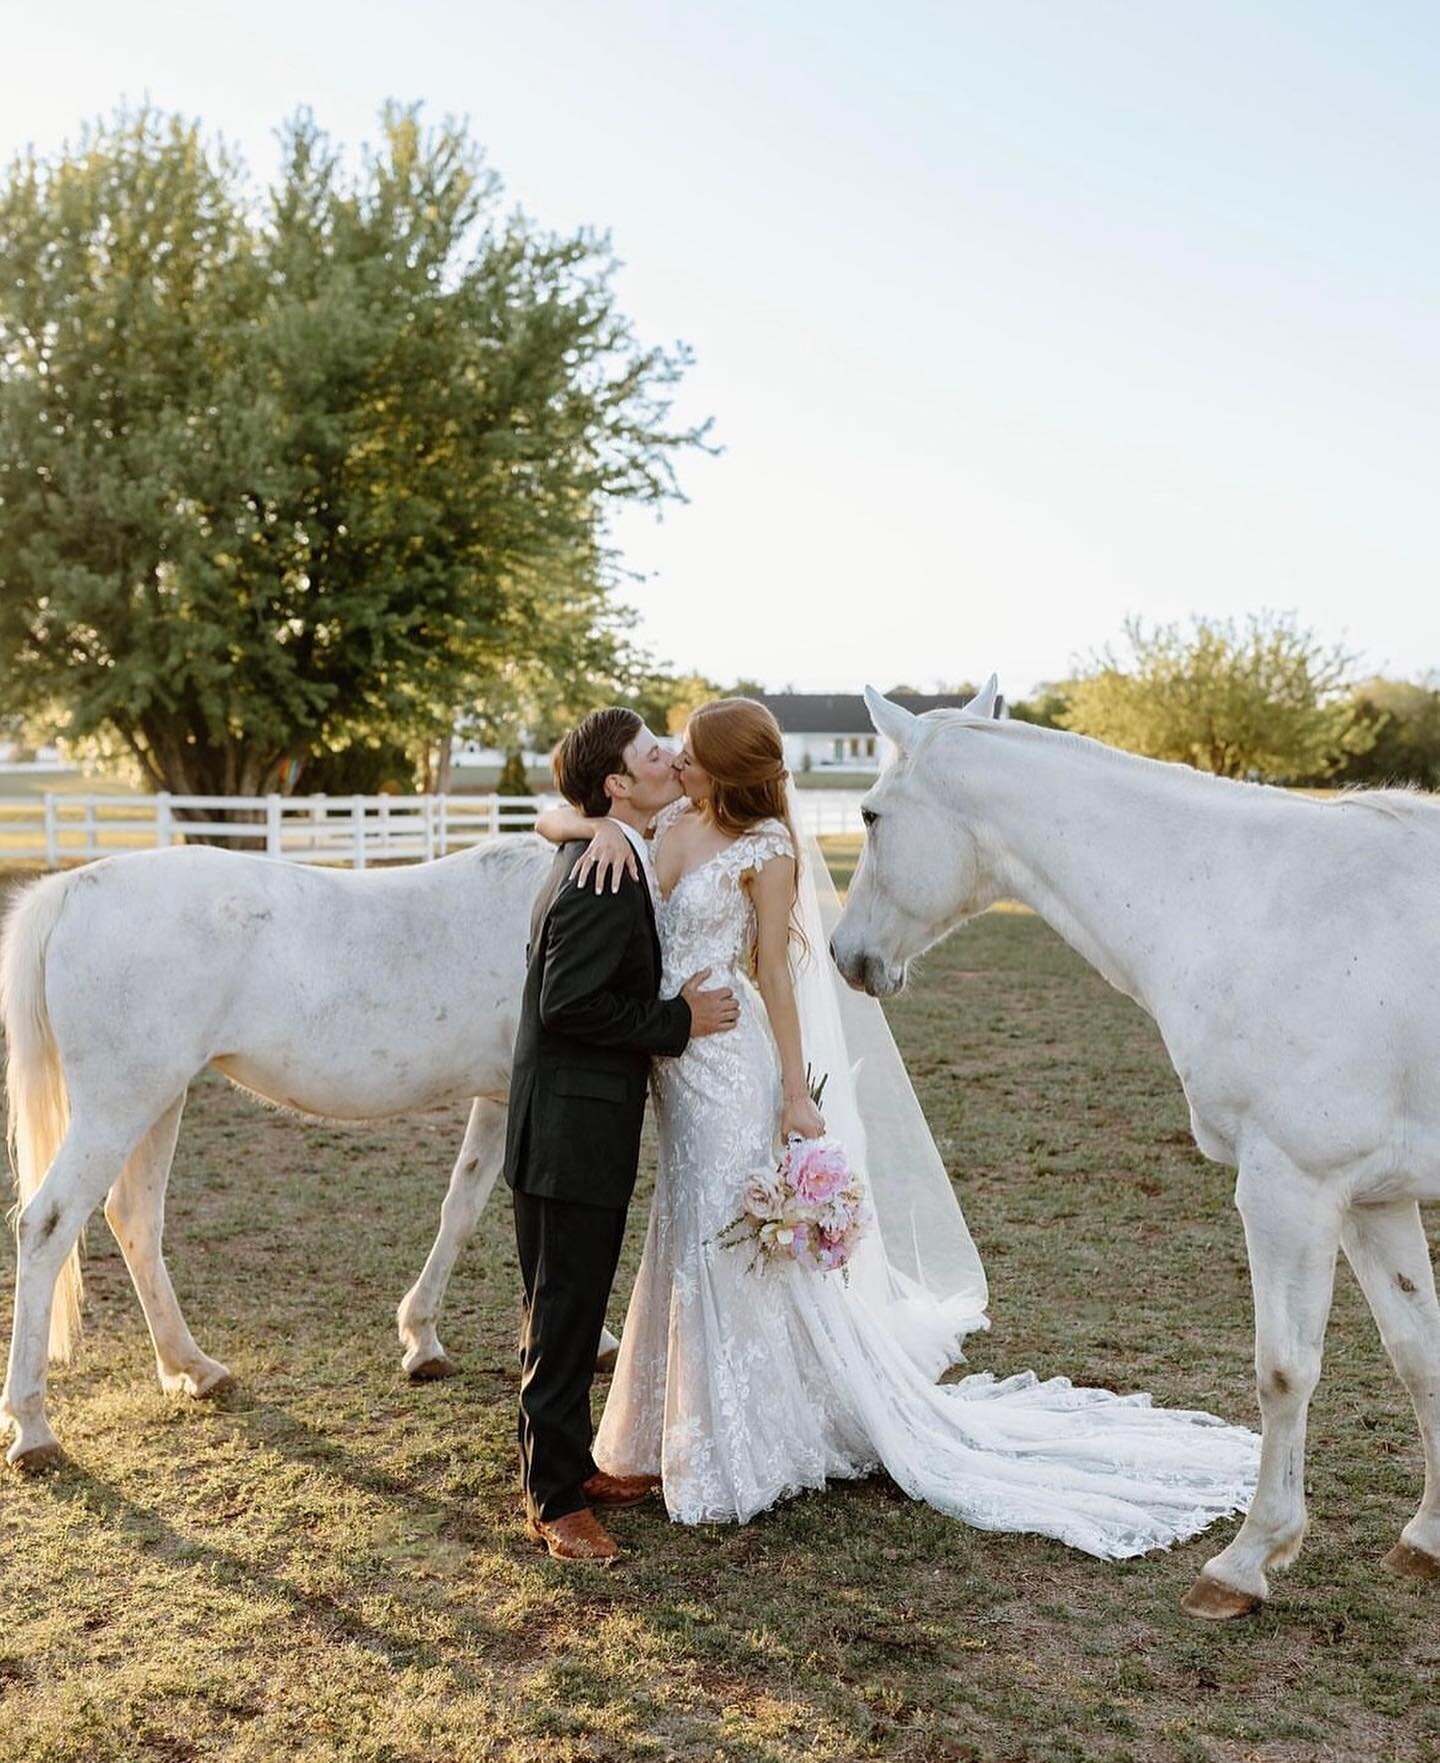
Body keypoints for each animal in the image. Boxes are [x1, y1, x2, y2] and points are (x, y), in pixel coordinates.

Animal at [0, 832, 595, 1466]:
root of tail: (70, 890)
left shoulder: (501, 1100)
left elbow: (463, 1208)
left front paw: (423, 1339)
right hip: (117, 1107)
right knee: (49, 1224)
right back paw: (33, 1427)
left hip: (157, 1101)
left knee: (134, 1219)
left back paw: (194, 1367)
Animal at [824, 680, 1438, 1614]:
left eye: (870, 814)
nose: (846, 953)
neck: (1258, 907)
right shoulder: (1373, 1197)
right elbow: (1419, 1355)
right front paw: (1428, 1537)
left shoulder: (1291, 1189)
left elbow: (1284, 1370)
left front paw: (1245, 1559)